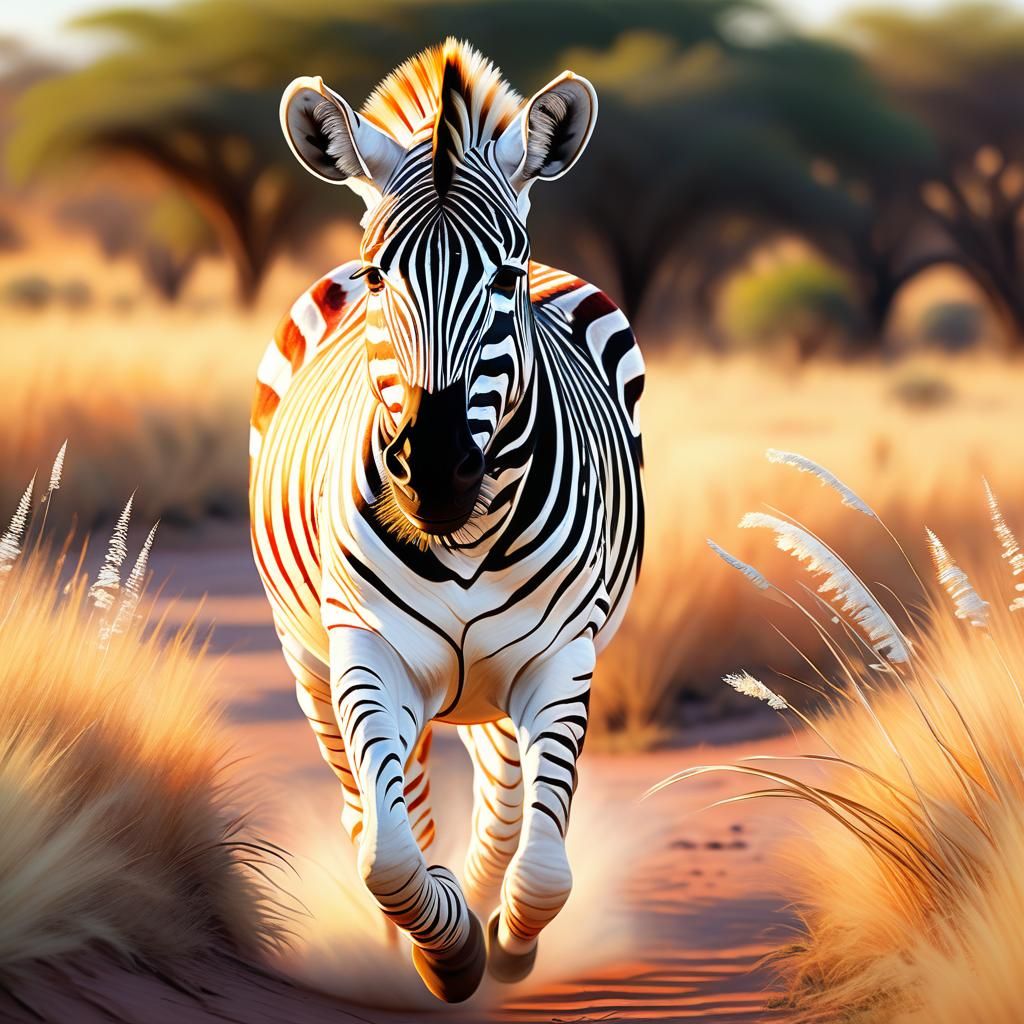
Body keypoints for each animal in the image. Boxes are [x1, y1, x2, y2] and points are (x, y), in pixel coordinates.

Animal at [250, 39, 644, 1003]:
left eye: (504, 276)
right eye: (380, 276)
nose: (433, 478)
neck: (462, 538)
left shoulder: (560, 658)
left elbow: (544, 865)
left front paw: (503, 941)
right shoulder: (365, 649)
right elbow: (386, 853)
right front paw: (445, 949)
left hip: (502, 679)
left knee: (499, 796)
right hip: (308, 656)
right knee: (375, 804)